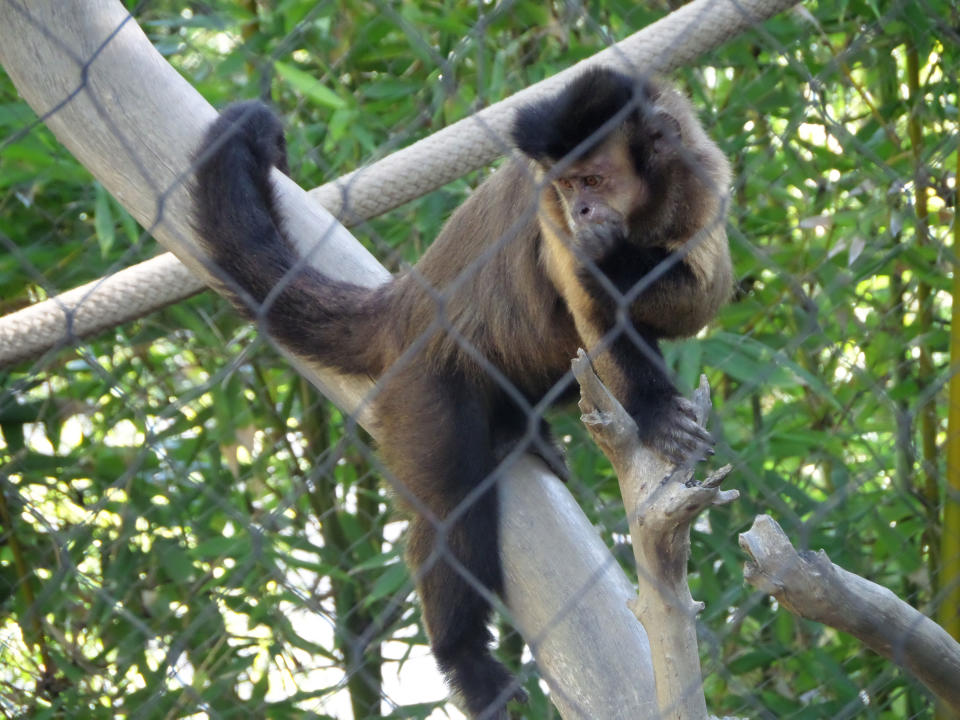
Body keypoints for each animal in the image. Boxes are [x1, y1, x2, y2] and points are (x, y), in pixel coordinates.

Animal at [195, 67, 736, 720]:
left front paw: (619, 255)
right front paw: (654, 411)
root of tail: (406, 304)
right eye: (568, 184)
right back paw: (464, 657)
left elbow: (705, 295)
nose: (583, 209)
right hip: (421, 384)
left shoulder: (705, 179)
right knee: (452, 499)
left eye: (594, 180)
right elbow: (603, 308)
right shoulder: (550, 213)